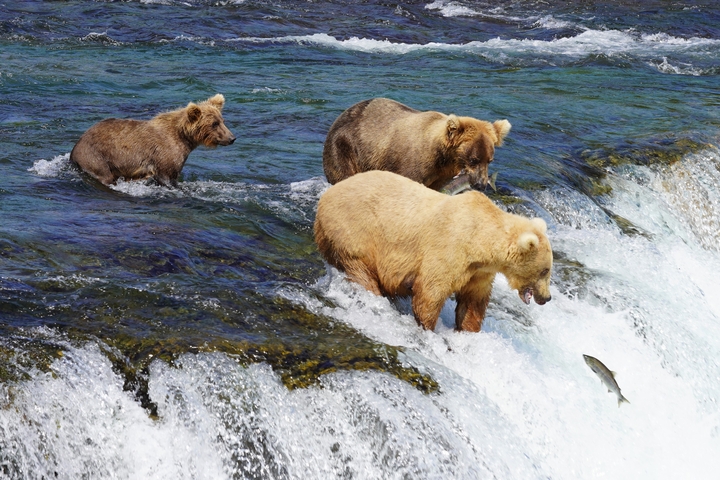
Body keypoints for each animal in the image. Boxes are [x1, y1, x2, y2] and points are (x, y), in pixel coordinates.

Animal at [70, 94, 235, 187]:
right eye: (214, 124)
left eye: (222, 120)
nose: (232, 138)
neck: (184, 138)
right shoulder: (166, 155)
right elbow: (168, 177)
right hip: (96, 156)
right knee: (105, 175)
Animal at [314, 170, 552, 332]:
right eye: (545, 271)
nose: (547, 297)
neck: (480, 242)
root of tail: (325, 197)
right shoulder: (448, 249)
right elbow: (430, 293)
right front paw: (428, 327)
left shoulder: (479, 271)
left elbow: (473, 301)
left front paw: (468, 330)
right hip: (352, 232)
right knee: (361, 272)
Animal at [322, 98, 511, 191]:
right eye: (473, 159)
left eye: (490, 160)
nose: (481, 184)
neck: (440, 157)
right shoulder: (410, 163)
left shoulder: (441, 174)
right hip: (345, 146)